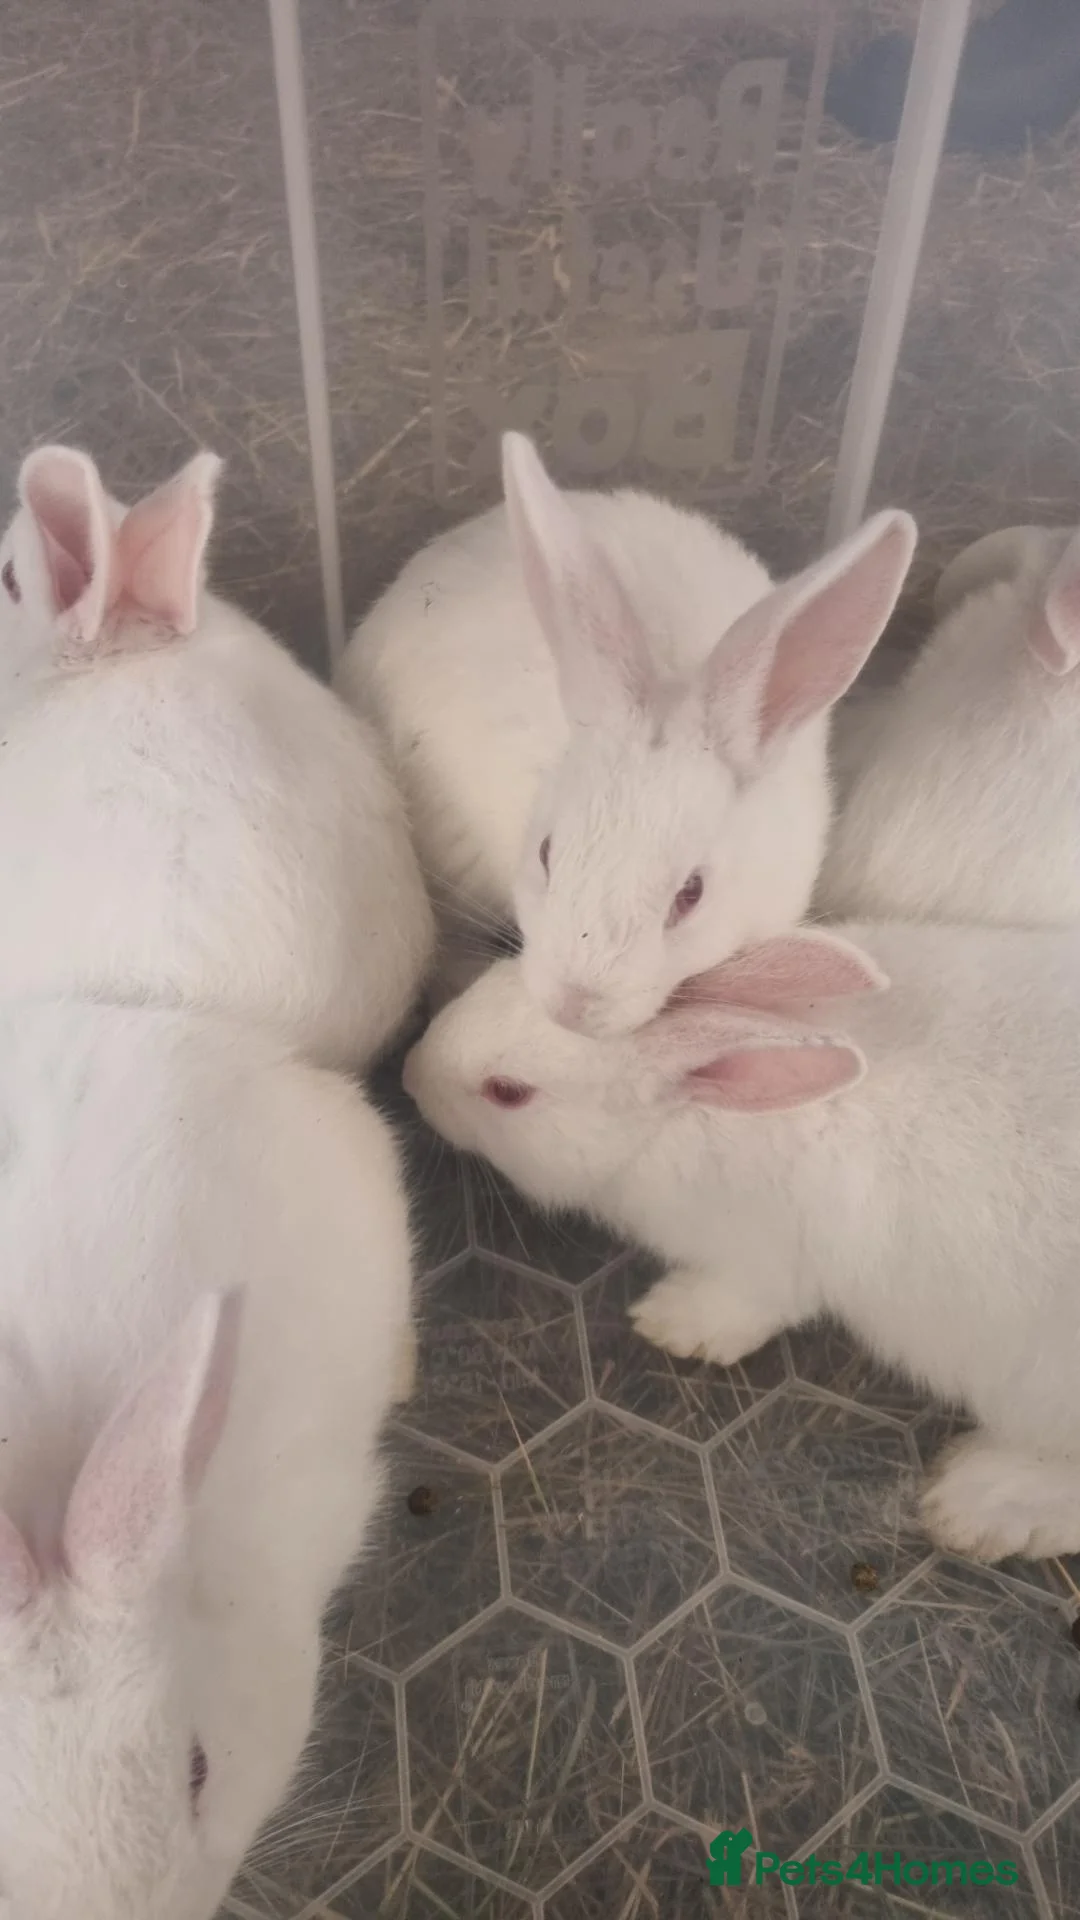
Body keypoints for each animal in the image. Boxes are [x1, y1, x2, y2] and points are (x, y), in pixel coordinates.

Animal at [403, 920, 1080, 1561]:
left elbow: (742, 1306)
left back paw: (973, 1500)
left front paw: (671, 1323)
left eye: (508, 1092)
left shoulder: (767, 1264)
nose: (411, 1076)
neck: (682, 1115)